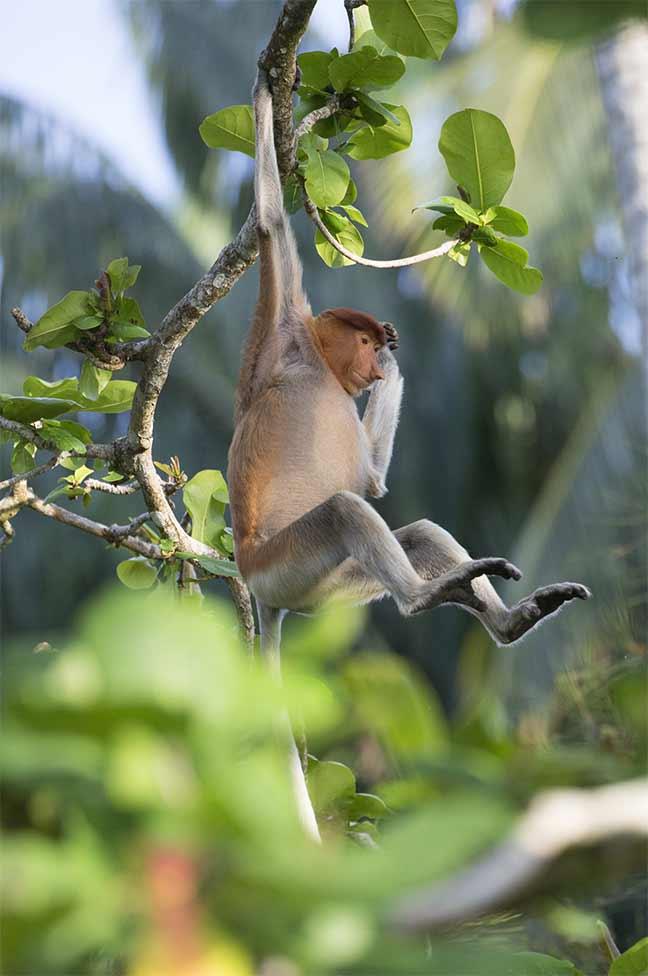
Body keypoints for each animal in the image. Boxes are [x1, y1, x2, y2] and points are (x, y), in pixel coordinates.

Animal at [228, 74, 592, 840]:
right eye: (363, 338)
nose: (379, 353)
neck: (315, 365)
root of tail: (255, 584)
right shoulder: (282, 331)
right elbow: (272, 223)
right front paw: (266, 95)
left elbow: (374, 480)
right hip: (288, 566)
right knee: (344, 510)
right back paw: (431, 595)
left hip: (330, 587)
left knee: (412, 529)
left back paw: (507, 617)